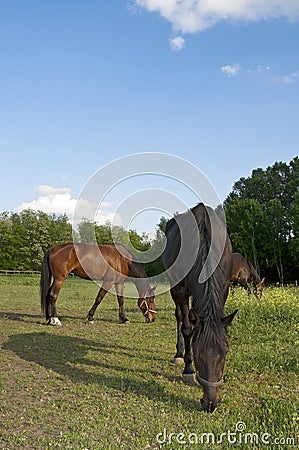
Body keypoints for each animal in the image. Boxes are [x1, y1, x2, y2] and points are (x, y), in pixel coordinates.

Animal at [163, 206, 238, 414]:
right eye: (197, 354)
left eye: (226, 351)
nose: (210, 403)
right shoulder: (180, 291)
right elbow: (187, 329)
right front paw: (188, 371)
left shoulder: (223, 288)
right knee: (180, 318)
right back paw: (179, 354)